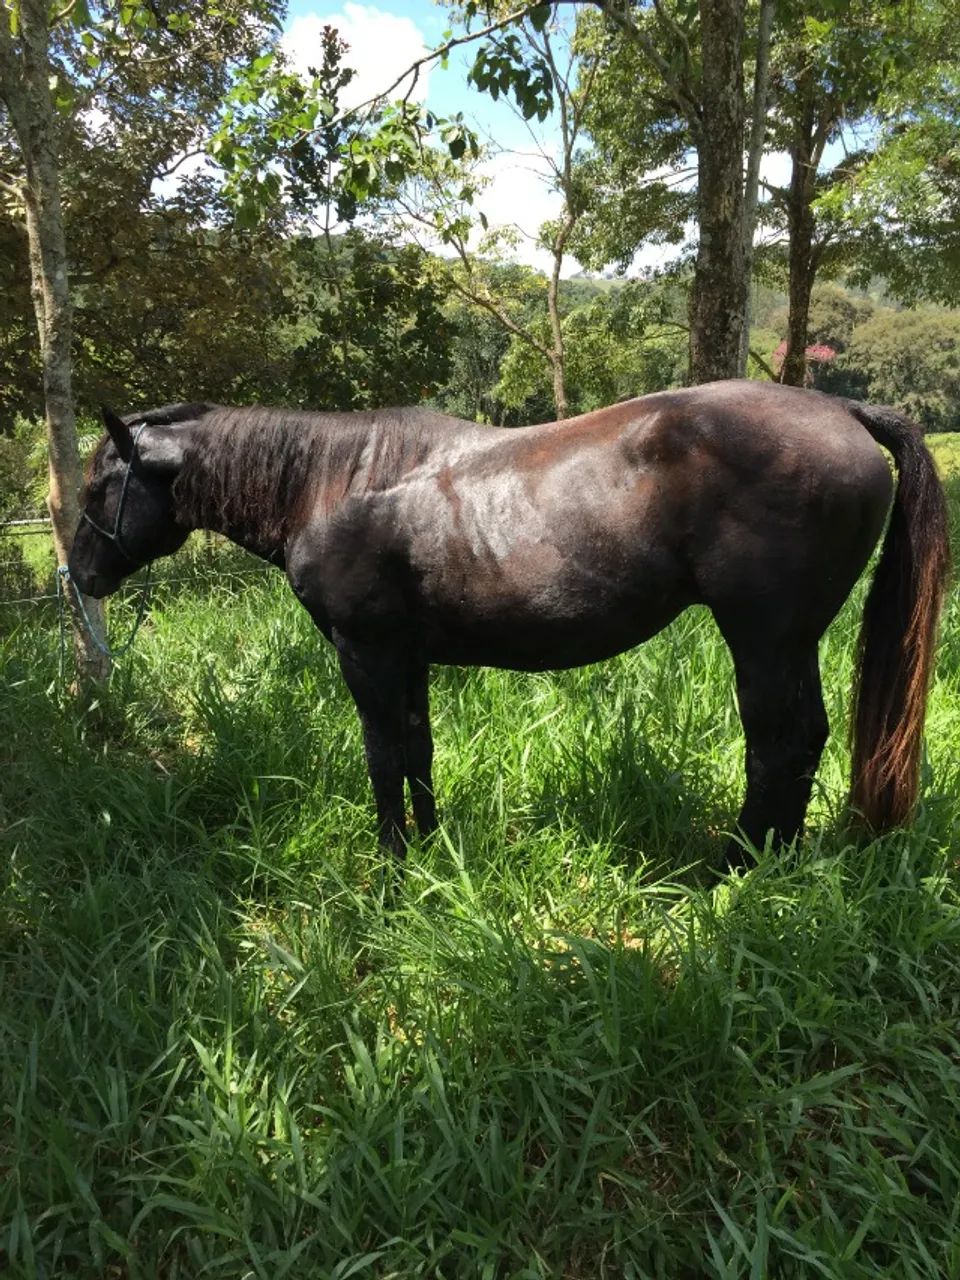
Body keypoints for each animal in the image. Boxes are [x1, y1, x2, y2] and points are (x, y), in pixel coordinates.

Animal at [67, 380, 950, 871]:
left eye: (96, 489)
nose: (79, 577)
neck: (333, 483)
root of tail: (841, 409)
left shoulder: (365, 653)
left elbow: (382, 755)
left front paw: (392, 864)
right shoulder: (406, 656)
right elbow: (417, 749)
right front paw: (432, 848)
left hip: (765, 642)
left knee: (780, 745)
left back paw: (736, 870)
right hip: (786, 644)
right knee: (802, 742)